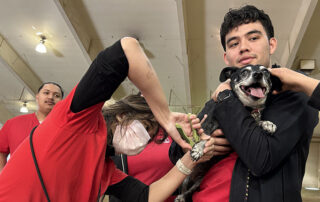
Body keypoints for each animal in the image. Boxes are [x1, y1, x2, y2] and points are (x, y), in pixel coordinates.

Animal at [175, 64, 282, 202]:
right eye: (244, 72)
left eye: (265, 72)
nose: (258, 74)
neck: (247, 108)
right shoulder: (209, 122)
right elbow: (206, 136)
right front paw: (198, 149)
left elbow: (256, 123)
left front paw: (267, 123)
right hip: (185, 178)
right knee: (184, 189)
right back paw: (180, 197)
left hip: (199, 181)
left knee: (191, 190)